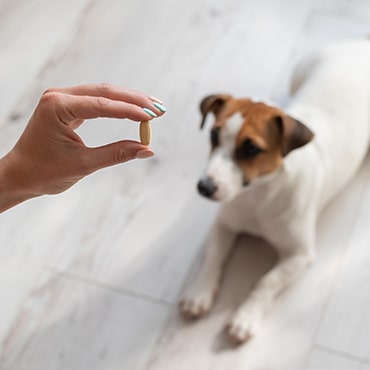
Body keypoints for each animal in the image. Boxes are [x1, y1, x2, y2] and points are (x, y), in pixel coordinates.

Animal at [179, 38, 370, 344]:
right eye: (213, 135)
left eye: (251, 149)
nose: (204, 187)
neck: (258, 196)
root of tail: (362, 42)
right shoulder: (223, 224)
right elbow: (212, 257)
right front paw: (199, 293)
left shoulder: (300, 255)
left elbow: (266, 281)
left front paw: (245, 316)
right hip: (299, 72)